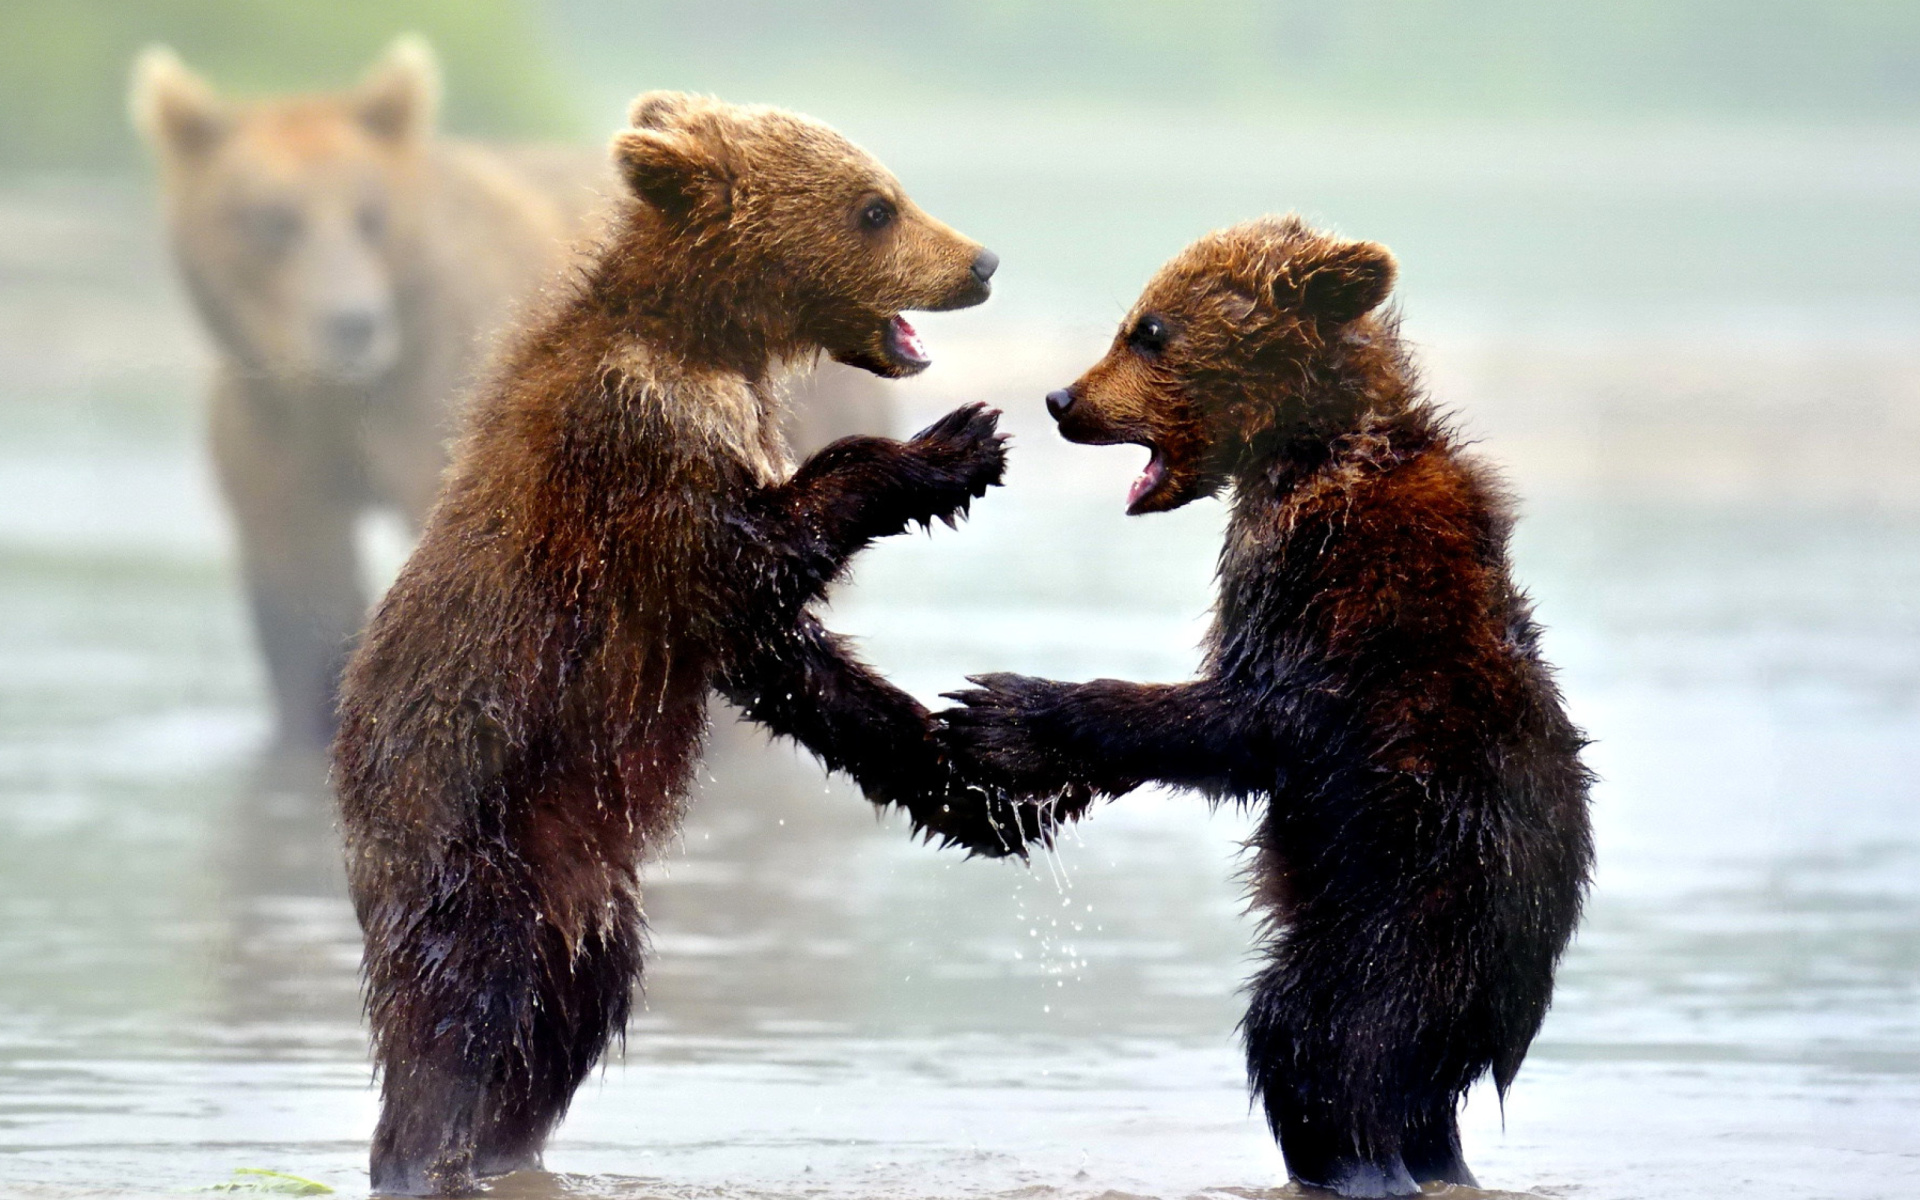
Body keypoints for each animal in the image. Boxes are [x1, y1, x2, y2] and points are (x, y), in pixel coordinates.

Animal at [131, 39, 899, 753]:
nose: (350, 324)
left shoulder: (441, 413)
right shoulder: (275, 444)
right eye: (272, 219)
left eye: (371, 215)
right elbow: (301, 592)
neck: (341, 398)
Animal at [331, 90, 1034, 1196]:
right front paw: (952, 448)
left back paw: (505, 1142)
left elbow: (790, 661)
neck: (709, 340)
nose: (982, 262)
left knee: (562, 1024)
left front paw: (979, 789)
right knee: (462, 1018)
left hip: (584, 904)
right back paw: (431, 1151)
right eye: (876, 207)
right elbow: (750, 558)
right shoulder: (642, 445)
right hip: (470, 841)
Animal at [940, 216, 1594, 1197]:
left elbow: (1248, 723)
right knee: (1415, 1096)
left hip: (1411, 896)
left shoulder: (1334, 591)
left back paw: (1354, 1157)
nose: (1062, 399)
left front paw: (1004, 713)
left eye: (1150, 330)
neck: (1306, 449)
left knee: (1319, 1034)